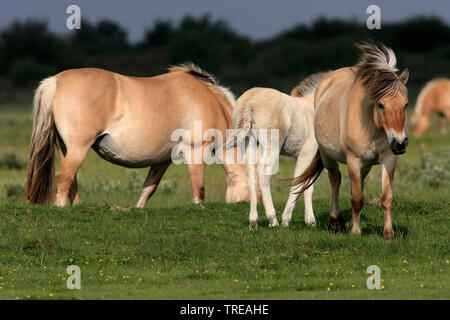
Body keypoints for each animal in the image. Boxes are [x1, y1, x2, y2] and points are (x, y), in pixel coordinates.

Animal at [25, 63, 250, 206]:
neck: (210, 102)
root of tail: (55, 80)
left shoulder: (162, 160)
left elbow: (149, 188)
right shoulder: (196, 151)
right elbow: (199, 189)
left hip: (67, 148)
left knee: (71, 179)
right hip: (78, 147)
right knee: (64, 177)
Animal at [229, 72, 326, 229]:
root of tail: (249, 101)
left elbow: (307, 185)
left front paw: (310, 221)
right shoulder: (308, 152)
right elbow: (299, 182)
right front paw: (286, 220)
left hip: (248, 144)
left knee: (251, 176)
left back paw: (253, 222)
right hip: (272, 146)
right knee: (263, 173)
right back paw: (273, 220)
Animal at [294, 42, 410, 239]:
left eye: (406, 104)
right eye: (381, 105)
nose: (400, 144)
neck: (373, 126)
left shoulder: (389, 158)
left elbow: (386, 198)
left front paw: (388, 233)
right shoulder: (353, 160)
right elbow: (356, 198)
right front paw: (356, 231)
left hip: (366, 165)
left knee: (359, 183)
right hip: (328, 157)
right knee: (335, 179)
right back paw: (336, 221)